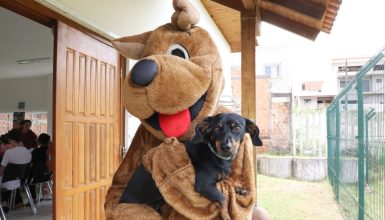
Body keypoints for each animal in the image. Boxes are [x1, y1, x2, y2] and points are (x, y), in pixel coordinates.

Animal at [120, 112, 262, 219]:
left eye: (237, 128)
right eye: (216, 128)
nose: (226, 147)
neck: (214, 154)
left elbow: (227, 181)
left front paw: (239, 188)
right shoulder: (204, 185)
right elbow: (223, 198)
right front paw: (226, 215)